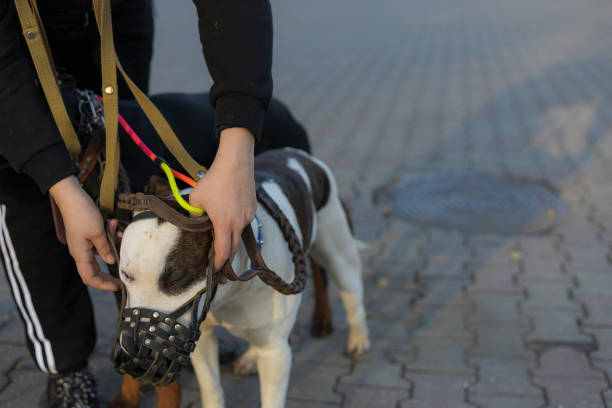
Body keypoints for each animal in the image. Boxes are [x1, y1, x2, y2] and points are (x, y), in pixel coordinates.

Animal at [117, 148, 370, 406]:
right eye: (126, 275)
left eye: (176, 280)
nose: (135, 356)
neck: (232, 293)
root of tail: (296, 153)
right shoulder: (198, 338)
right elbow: (211, 388)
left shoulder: (275, 353)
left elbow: (271, 400)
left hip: (338, 250)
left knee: (352, 295)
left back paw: (358, 340)